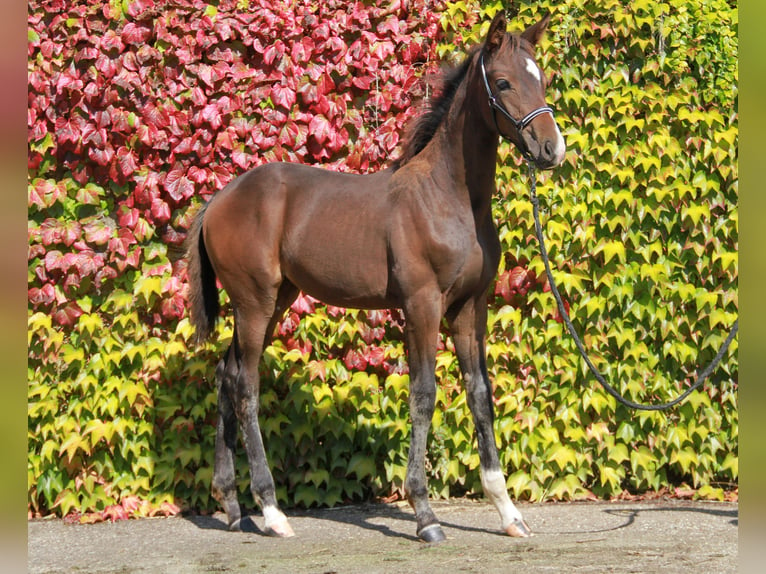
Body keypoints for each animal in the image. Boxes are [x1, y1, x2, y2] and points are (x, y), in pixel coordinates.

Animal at [188, 10, 564, 544]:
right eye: (506, 82)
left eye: (542, 79)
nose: (552, 149)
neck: (448, 196)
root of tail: (219, 199)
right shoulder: (422, 305)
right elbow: (424, 395)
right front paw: (425, 515)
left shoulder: (471, 307)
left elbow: (480, 393)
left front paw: (508, 513)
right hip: (254, 303)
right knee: (246, 386)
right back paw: (273, 512)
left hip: (275, 299)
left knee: (225, 374)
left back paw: (234, 507)